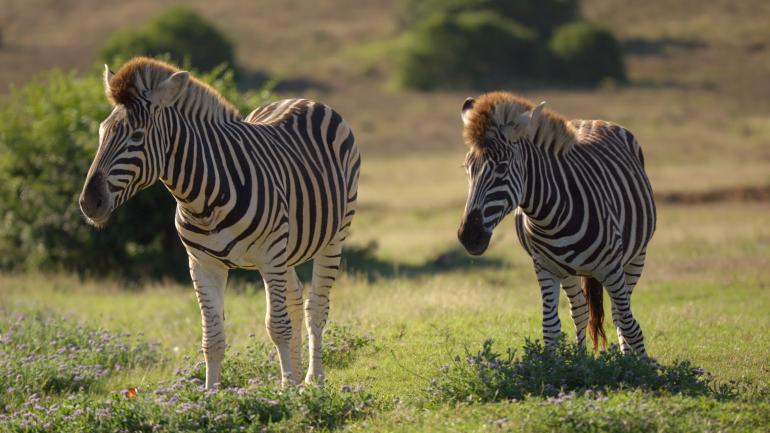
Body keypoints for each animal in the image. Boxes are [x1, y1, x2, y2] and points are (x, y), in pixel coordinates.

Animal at [79, 55, 362, 386]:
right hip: (288, 248)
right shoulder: (202, 264)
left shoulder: (269, 255)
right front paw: (211, 395)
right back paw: (296, 375)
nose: (89, 202)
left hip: (333, 236)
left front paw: (285, 390)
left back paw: (311, 379)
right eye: (101, 132)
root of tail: (304, 100)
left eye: (136, 136)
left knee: (315, 307)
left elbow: (277, 326)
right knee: (294, 299)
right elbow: (212, 338)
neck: (202, 199)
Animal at [456, 91, 656, 354]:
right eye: (467, 168)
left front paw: (640, 365)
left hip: (636, 257)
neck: (549, 218)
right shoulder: (545, 267)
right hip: (568, 271)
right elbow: (550, 327)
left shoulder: (612, 267)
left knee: (618, 313)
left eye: (501, 167)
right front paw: (554, 364)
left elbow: (630, 325)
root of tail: (593, 120)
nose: (468, 235)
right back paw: (582, 358)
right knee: (580, 309)